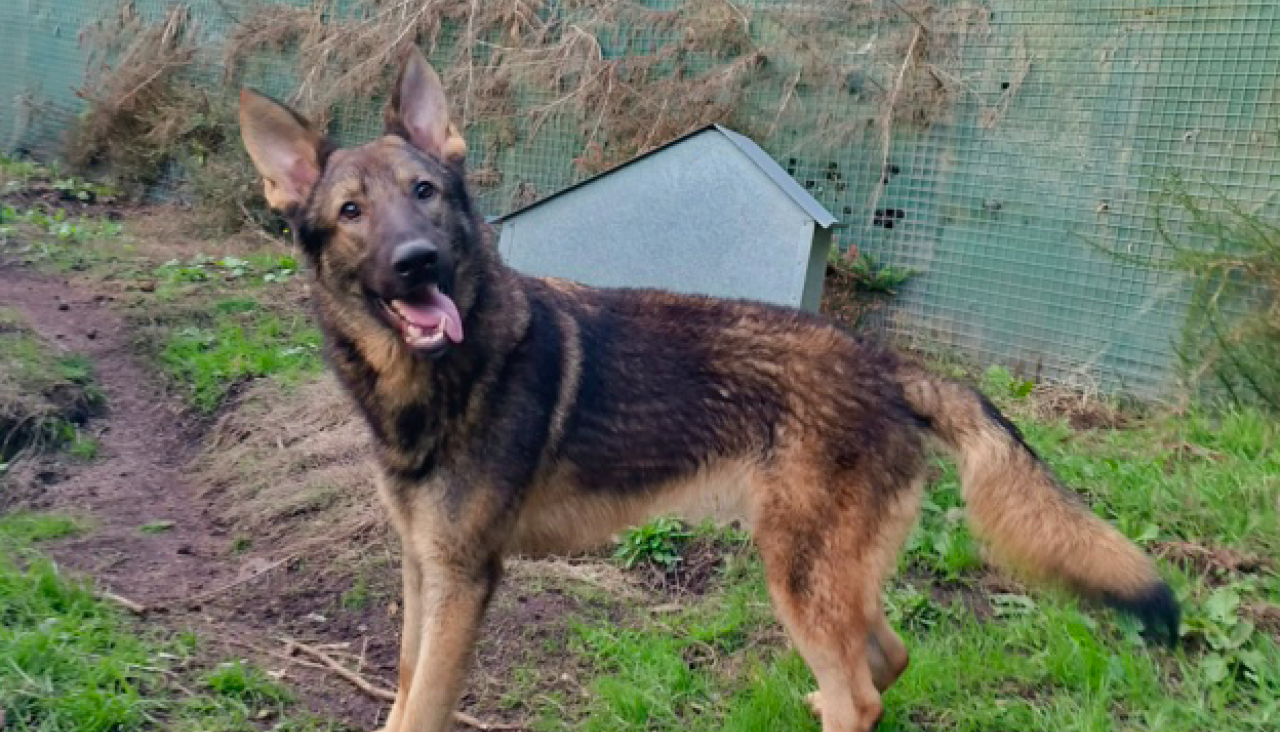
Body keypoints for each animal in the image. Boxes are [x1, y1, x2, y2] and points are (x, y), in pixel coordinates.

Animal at [237, 47, 1178, 732]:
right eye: (352, 213)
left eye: (426, 193)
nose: (417, 262)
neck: (431, 383)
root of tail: (882, 363)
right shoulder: (422, 569)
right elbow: (401, 684)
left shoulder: (465, 582)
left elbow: (421, 707)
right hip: (820, 578)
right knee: (887, 662)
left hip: (797, 580)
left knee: (862, 694)